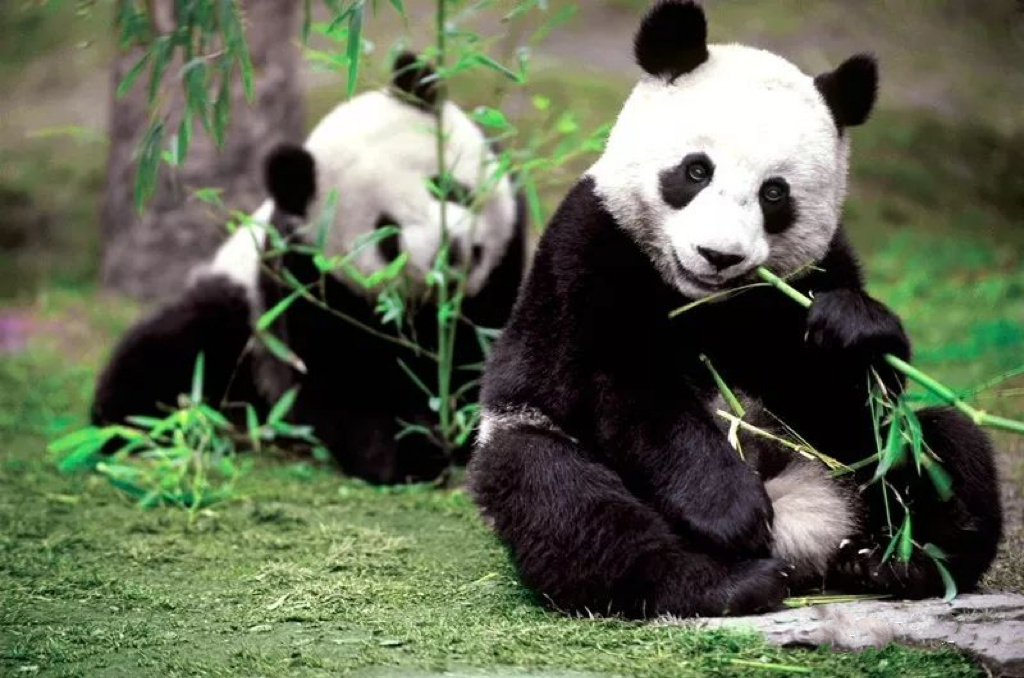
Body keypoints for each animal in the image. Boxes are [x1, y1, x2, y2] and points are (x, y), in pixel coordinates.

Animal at [92, 53, 527, 484]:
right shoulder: (306, 287)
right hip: (243, 329)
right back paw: (133, 428)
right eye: (386, 234)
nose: (450, 252)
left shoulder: (502, 271)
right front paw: (410, 454)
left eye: (445, 187)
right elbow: (341, 384)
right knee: (171, 351)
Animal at [467, 1, 1002, 618]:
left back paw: (898, 560)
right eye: (696, 170)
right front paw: (731, 510)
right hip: (528, 434)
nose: (719, 255)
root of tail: (802, 540)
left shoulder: (810, 275)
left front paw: (850, 329)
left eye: (775, 193)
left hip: (858, 469)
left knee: (938, 448)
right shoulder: (589, 249)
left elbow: (841, 396)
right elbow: (626, 385)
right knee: (564, 499)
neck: (701, 300)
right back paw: (725, 582)